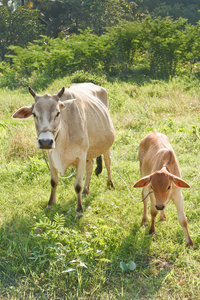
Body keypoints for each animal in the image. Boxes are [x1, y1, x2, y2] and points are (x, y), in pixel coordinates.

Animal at [12, 83, 115, 212]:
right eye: (34, 114)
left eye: (58, 113)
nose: (45, 142)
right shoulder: (51, 157)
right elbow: (53, 182)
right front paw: (50, 204)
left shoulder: (81, 157)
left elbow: (77, 185)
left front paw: (79, 209)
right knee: (90, 166)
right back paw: (86, 191)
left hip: (106, 145)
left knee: (107, 162)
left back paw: (110, 184)